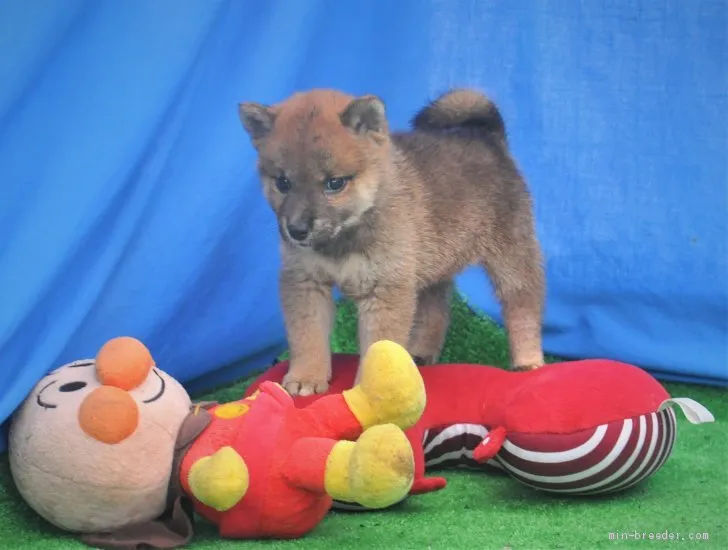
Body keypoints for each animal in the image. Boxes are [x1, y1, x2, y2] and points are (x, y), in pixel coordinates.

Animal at [240, 87, 544, 396]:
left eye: (335, 183)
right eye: (282, 183)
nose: (297, 230)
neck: (343, 240)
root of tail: (489, 138)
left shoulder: (385, 290)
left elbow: (378, 346)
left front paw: (374, 389)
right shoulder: (306, 282)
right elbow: (308, 336)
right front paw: (307, 377)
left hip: (511, 259)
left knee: (523, 309)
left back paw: (528, 361)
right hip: (432, 263)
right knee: (436, 310)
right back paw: (420, 354)